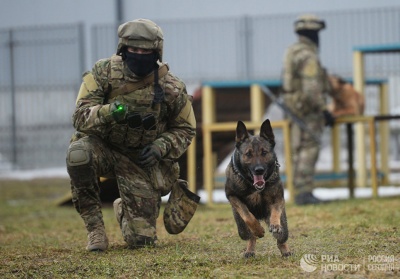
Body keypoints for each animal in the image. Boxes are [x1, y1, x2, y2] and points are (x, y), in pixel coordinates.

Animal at [225, 120, 290, 258]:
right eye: (248, 154)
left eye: (264, 152)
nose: (259, 170)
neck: (253, 185)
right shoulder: (232, 196)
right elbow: (247, 215)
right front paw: (258, 230)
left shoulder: (278, 198)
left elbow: (275, 211)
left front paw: (275, 224)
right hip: (240, 227)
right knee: (249, 235)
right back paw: (250, 249)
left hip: (284, 226)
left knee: (281, 238)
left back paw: (285, 249)